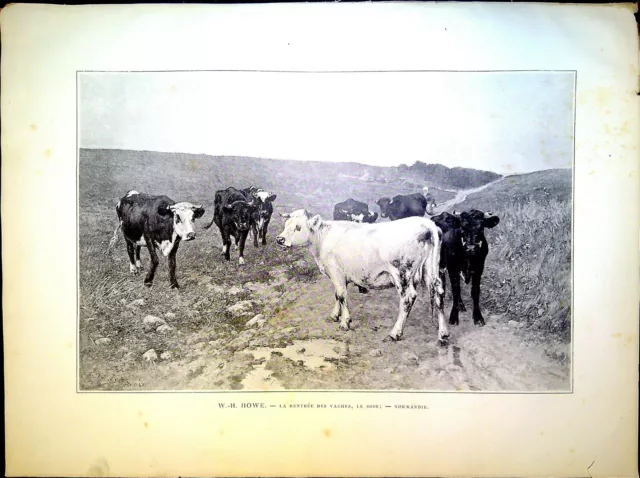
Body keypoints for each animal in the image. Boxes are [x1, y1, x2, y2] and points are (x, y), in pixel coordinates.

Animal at [276, 209, 450, 344]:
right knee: (439, 294)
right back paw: (443, 334)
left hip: (401, 273)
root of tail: (427, 225)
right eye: (286, 225)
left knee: (408, 298)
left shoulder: (336, 271)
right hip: (431, 270)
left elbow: (341, 295)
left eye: (298, 227)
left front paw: (345, 322)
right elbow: (337, 295)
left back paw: (395, 333)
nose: (279, 239)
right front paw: (335, 315)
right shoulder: (341, 275)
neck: (322, 238)